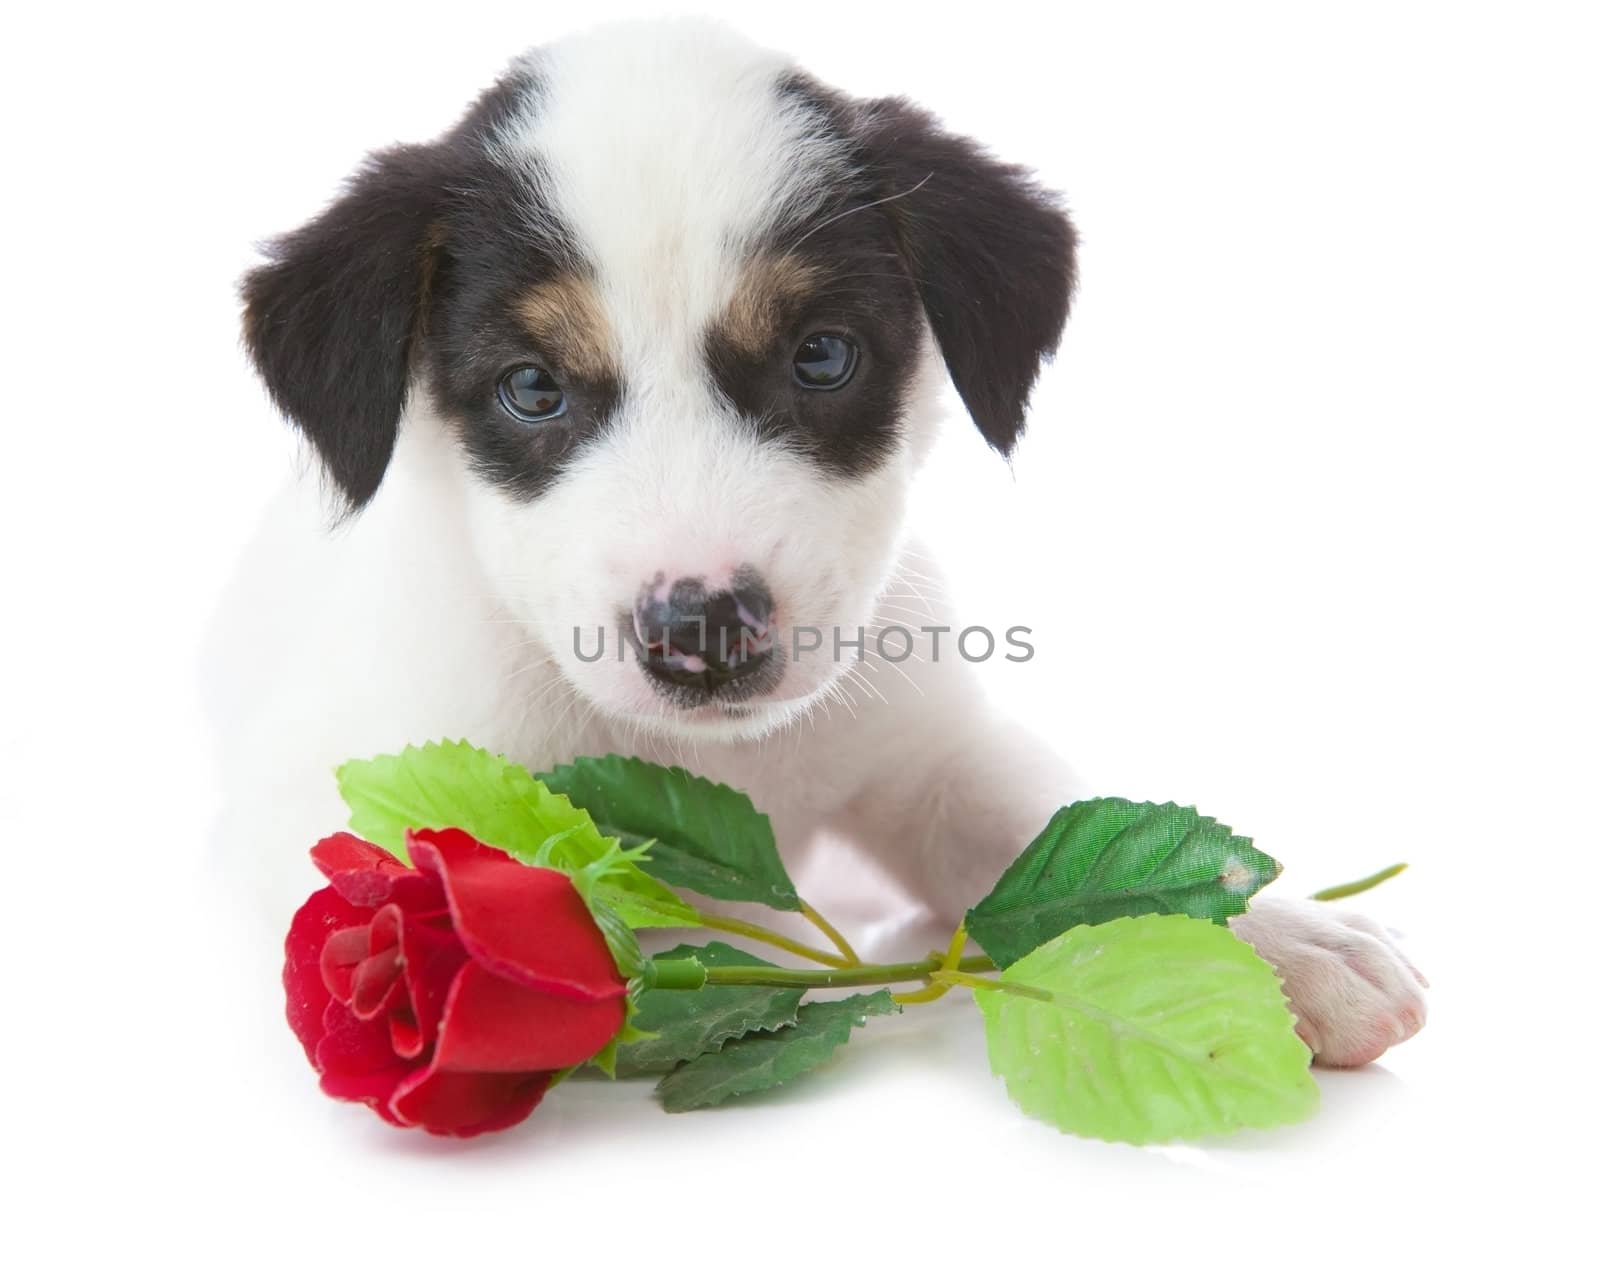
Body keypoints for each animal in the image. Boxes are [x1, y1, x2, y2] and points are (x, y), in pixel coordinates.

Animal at [222, 19, 1427, 1068]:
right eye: (530, 387)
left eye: (821, 357)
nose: (704, 628)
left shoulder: (935, 757)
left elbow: (1057, 831)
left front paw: (1277, 937)